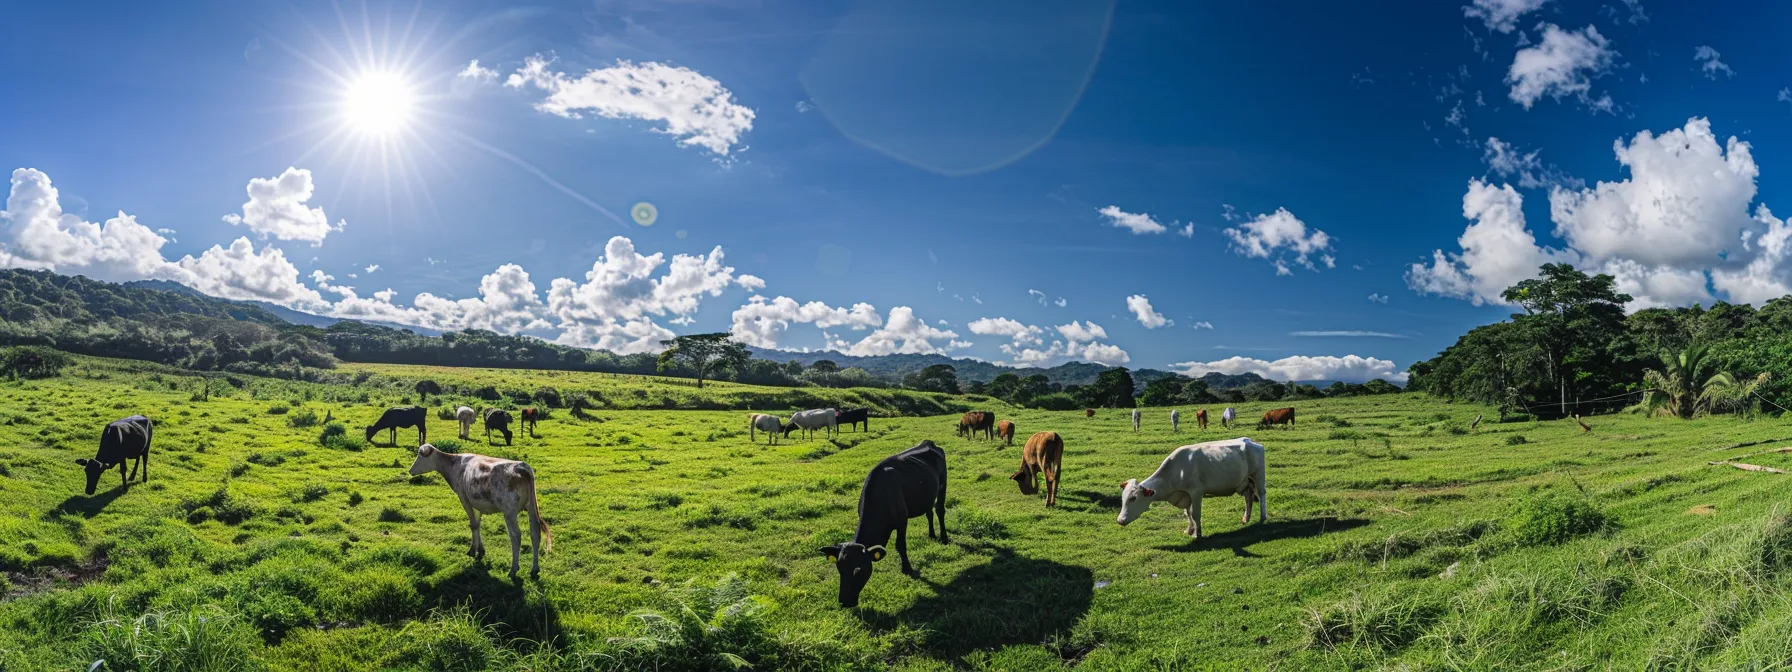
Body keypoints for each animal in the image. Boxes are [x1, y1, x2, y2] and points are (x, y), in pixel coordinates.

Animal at [408, 444, 551, 580]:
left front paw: (473, 551)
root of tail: (521, 466)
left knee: (516, 536)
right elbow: (477, 525)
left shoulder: (464, 498)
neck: (454, 465)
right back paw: (534, 569)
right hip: (531, 508)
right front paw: (480, 550)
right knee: (535, 534)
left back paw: (513, 569)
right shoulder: (476, 502)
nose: (410, 470)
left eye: (420, 456)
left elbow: (473, 525)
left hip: (509, 512)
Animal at [817, 442, 946, 609]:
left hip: (942, 485)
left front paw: (907, 569)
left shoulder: (902, 520)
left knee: (939, 510)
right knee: (929, 512)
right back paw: (931, 535)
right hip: (927, 495)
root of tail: (928, 442)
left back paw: (944, 537)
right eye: (839, 567)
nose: (844, 601)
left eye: (858, 570)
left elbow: (900, 545)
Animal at [1111, 439, 1268, 541]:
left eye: (1133, 498)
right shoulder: (1185, 495)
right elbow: (1188, 513)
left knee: (1261, 494)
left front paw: (1197, 534)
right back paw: (1246, 518)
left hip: (1258, 474)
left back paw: (1262, 517)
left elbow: (1195, 514)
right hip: (1244, 482)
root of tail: (1251, 441)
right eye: (1123, 498)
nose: (1120, 520)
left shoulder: (1196, 492)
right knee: (1248, 496)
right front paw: (1189, 530)